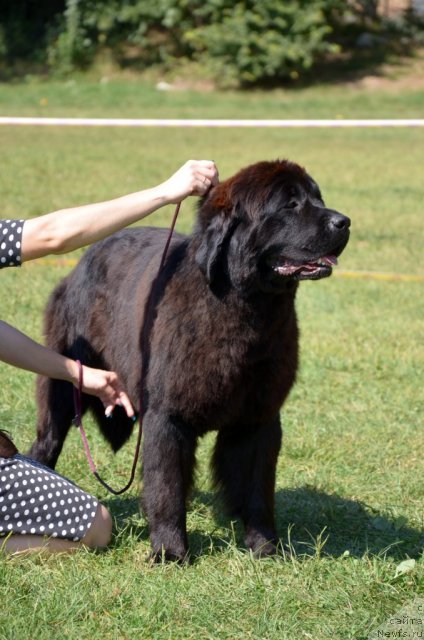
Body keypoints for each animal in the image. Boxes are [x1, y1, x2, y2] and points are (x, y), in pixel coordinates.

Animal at [28, 160, 350, 560]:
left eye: (318, 199)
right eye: (290, 204)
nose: (344, 221)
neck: (245, 311)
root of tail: (85, 258)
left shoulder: (259, 417)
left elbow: (258, 490)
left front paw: (264, 547)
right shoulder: (168, 416)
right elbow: (167, 486)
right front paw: (170, 551)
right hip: (64, 378)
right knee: (49, 437)